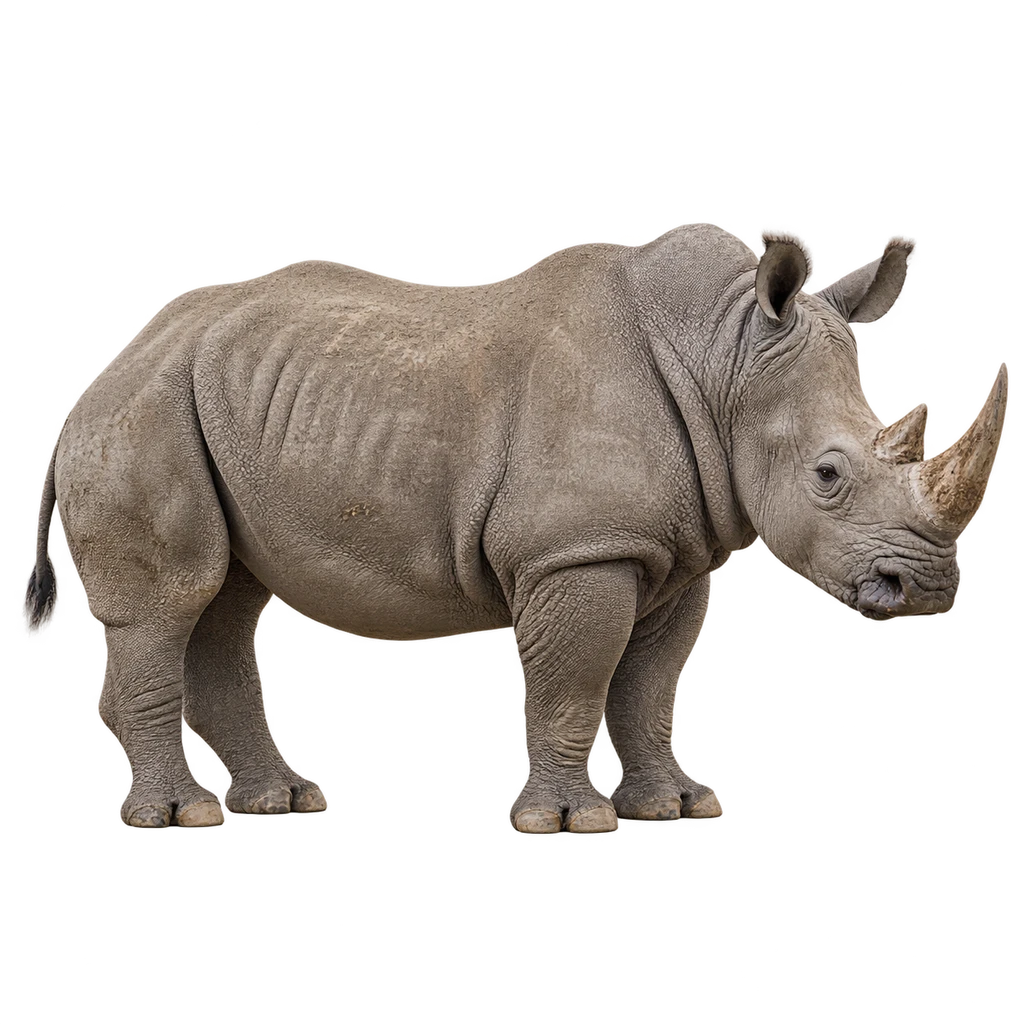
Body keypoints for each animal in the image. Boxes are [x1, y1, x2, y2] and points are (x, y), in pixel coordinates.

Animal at [21, 227, 1010, 833]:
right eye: (828, 476)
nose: (926, 590)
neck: (724, 356)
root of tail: (95, 381)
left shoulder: (673, 553)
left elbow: (650, 688)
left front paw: (678, 807)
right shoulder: (578, 549)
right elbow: (577, 680)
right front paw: (572, 822)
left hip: (210, 408)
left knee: (225, 606)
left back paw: (285, 801)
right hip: (146, 413)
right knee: (173, 602)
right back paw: (183, 816)